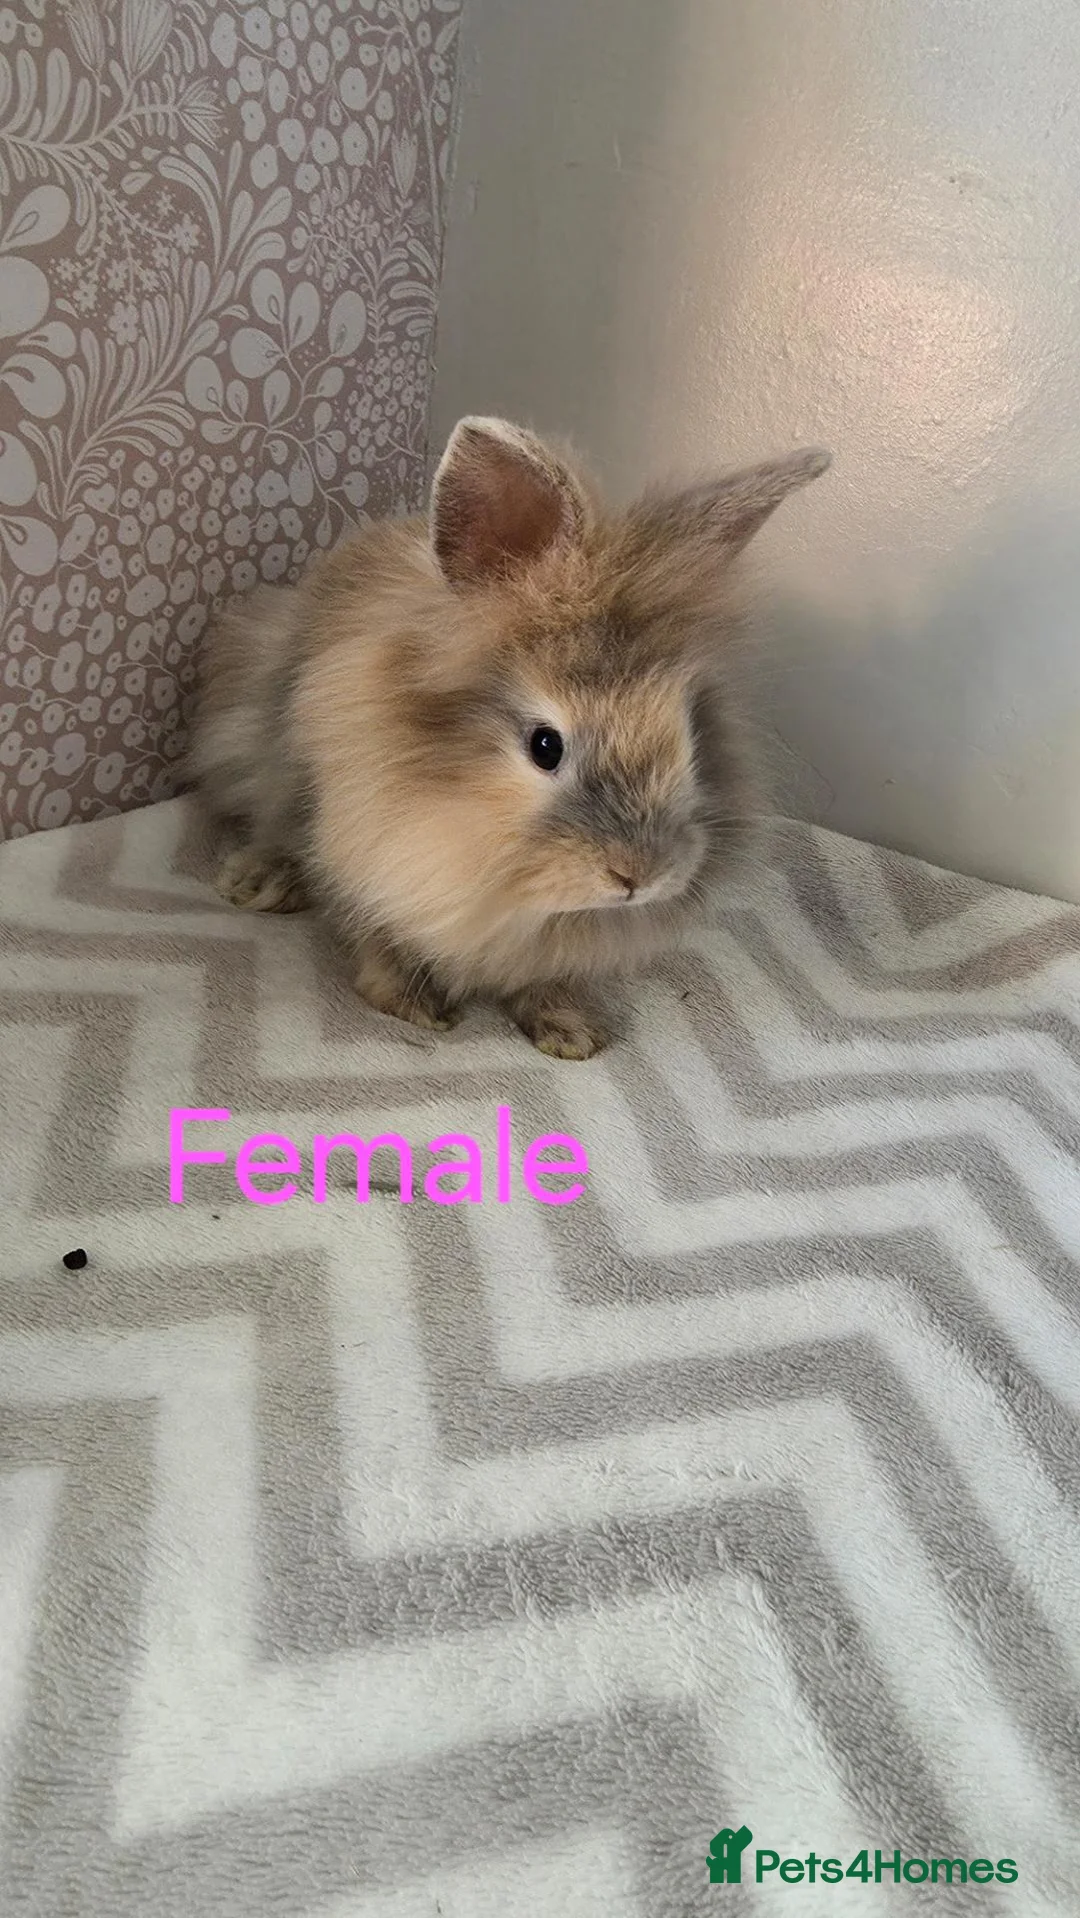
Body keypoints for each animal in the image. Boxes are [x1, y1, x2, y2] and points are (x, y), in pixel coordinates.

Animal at [187, 416, 829, 1058]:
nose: (638, 876)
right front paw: (414, 1007)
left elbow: (546, 979)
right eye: (546, 746)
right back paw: (257, 883)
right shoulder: (354, 847)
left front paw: (572, 1032)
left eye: (691, 735)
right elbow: (372, 932)